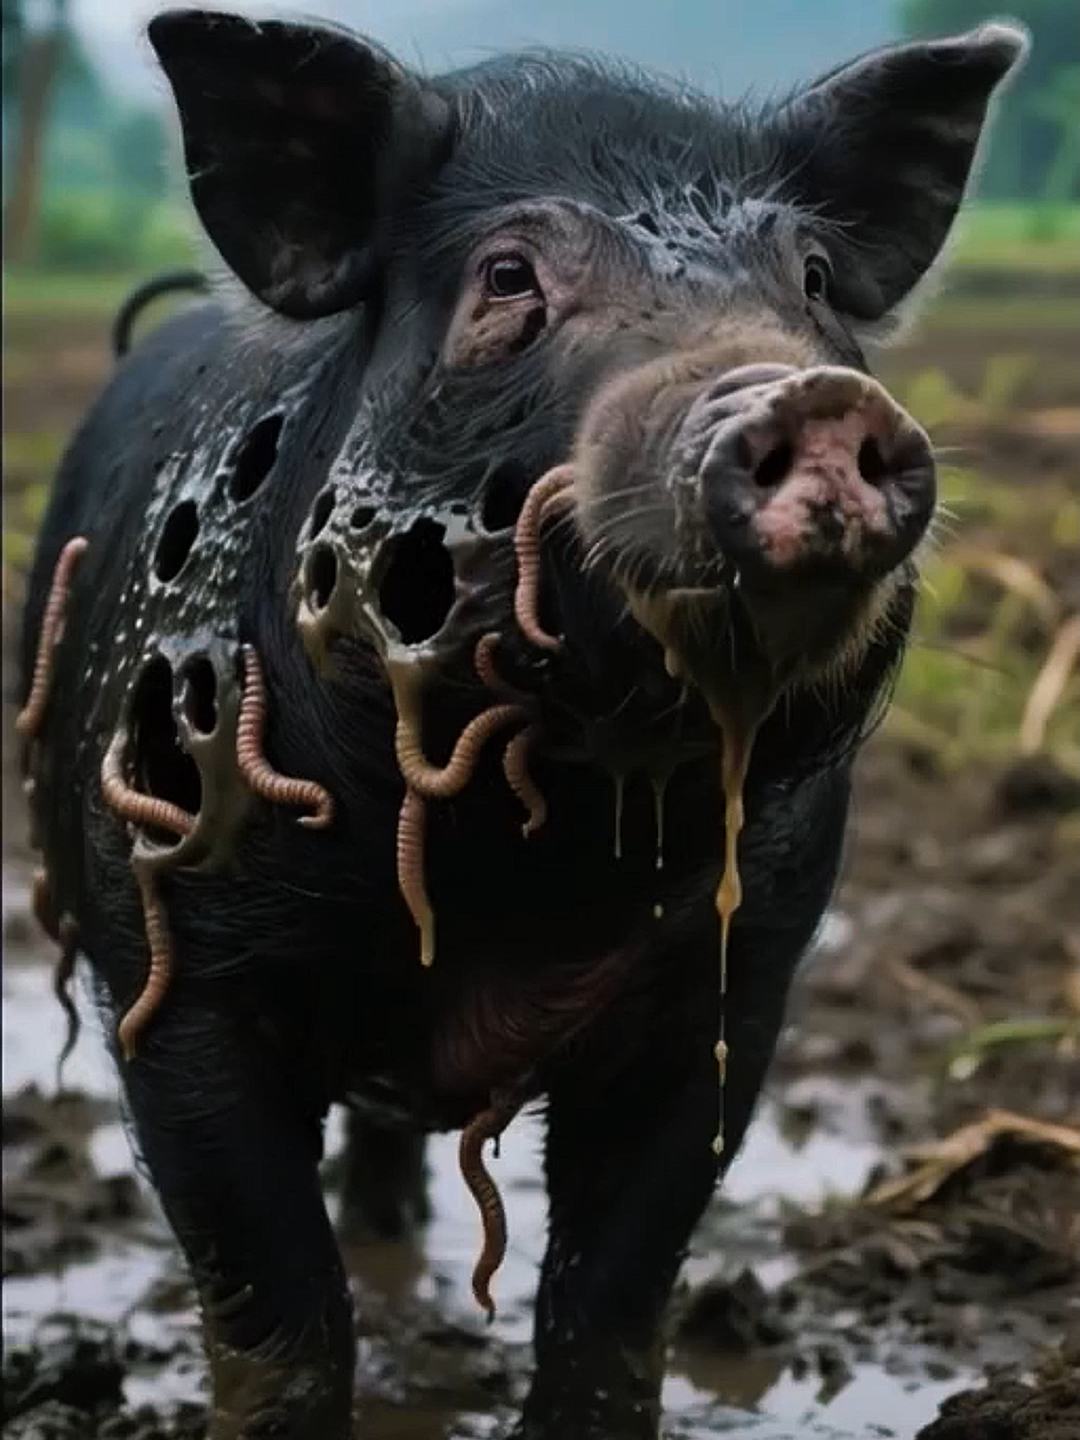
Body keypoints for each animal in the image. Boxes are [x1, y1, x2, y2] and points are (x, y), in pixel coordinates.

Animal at [18, 9, 1025, 1438]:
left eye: (817, 276)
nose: (811, 398)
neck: (519, 858)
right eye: (507, 277)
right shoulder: (166, 964)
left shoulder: (740, 977)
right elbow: (276, 1295)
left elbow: (610, 1295)